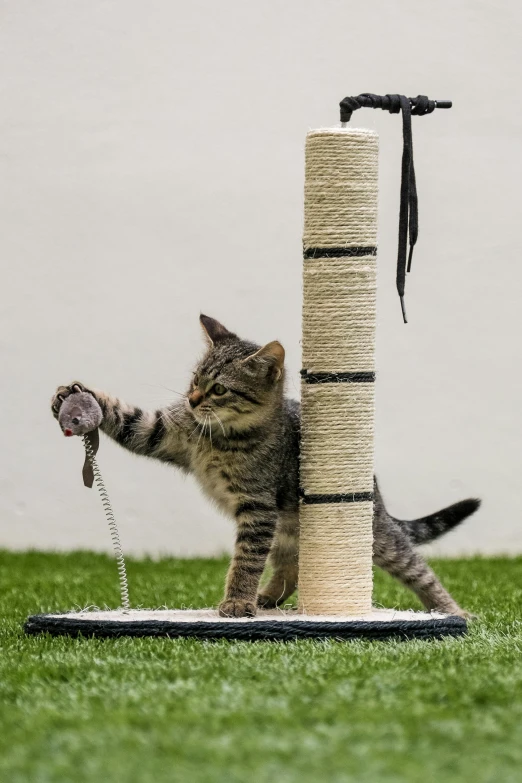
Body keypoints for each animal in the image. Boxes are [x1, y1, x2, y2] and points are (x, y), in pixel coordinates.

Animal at [50, 314, 478, 620]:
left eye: (219, 388)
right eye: (194, 379)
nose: (191, 400)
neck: (220, 437)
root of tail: (378, 495)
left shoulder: (257, 507)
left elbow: (246, 560)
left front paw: (238, 602)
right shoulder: (159, 433)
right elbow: (128, 419)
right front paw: (75, 397)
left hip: (374, 537)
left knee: (418, 569)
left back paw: (453, 612)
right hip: (288, 531)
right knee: (291, 567)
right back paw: (270, 597)